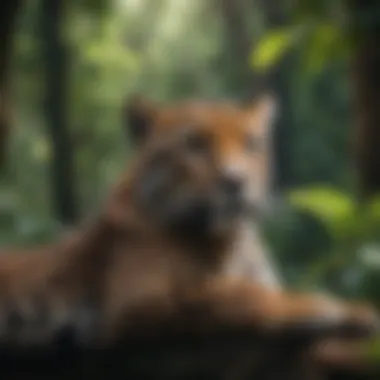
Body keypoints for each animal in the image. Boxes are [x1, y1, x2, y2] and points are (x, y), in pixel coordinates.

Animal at [0, 95, 378, 354]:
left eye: (250, 143)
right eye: (195, 144)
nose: (235, 181)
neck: (228, 239)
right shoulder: (137, 304)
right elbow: (239, 294)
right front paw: (339, 309)